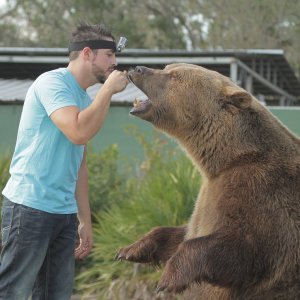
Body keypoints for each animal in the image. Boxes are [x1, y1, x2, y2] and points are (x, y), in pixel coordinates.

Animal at [115, 62, 300, 298]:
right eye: (168, 67)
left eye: (174, 76)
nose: (138, 69)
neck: (223, 161)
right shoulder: (210, 194)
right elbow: (182, 233)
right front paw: (129, 249)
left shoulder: (260, 191)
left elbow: (246, 250)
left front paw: (167, 279)